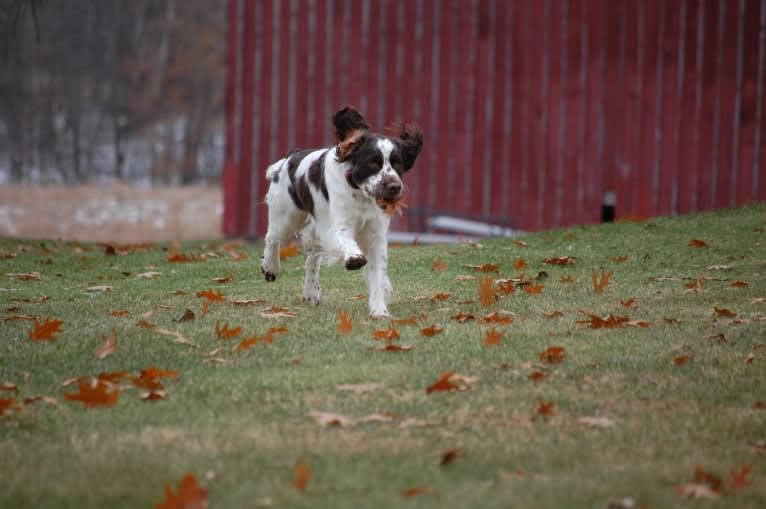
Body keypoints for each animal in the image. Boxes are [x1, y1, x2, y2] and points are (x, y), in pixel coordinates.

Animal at [260, 105, 424, 316]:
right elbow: (346, 240)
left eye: (398, 163)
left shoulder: (375, 235)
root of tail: (291, 156)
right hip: (287, 216)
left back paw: (311, 293)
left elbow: (377, 275)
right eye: (373, 162)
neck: (360, 193)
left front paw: (380, 310)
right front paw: (354, 258)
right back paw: (270, 268)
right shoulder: (336, 226)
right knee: (272, 237)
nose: (394, 187)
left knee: (312, 257)